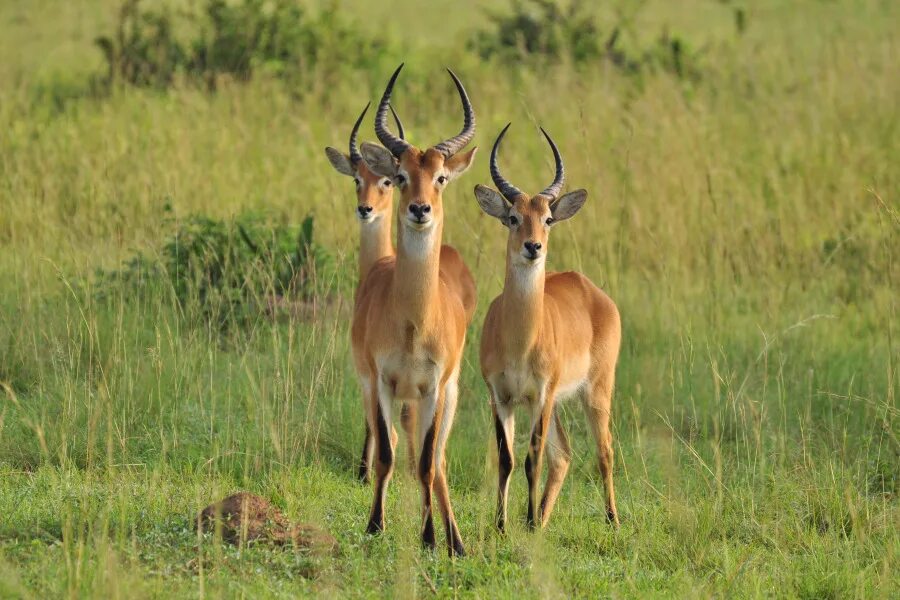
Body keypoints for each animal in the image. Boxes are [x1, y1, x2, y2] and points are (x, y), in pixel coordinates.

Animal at [352, 63, 478, 556]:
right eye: (401, 175)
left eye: (440, 176)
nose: (421, 210)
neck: (412, 322)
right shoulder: (381, 382)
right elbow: (387, 456)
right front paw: (375, 525)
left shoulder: (434, 390)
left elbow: (425, 464)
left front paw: (430, 539)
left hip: (450, 397)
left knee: (438, 463)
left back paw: (456, 542)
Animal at [474, 123, 624, 528]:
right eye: (513, 217)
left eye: (548, 219)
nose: (533, 246)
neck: (518, 343)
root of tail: (590, 289)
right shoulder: (501, 396)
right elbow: (507, 459)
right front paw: (501, 525)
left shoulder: (539, 395)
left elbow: (532, 459)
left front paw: (520, 522)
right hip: (555, 401)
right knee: (565, 454)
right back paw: (540, 519)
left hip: (595, 391)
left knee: (604, 451)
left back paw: (612, 520)